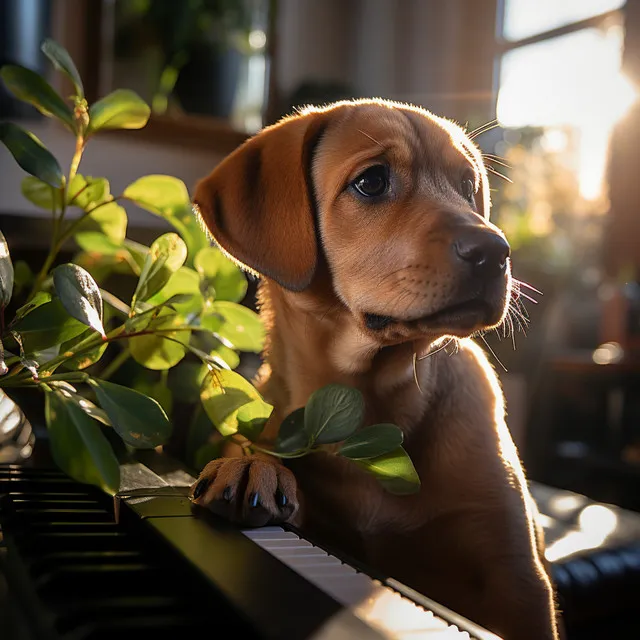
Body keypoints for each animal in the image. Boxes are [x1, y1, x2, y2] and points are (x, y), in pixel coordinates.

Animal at [191, 100, 560, 640]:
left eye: (467, 186)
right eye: (371, 181)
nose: (496, 252)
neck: (366, 403)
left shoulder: (519, 580)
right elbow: (252, 452)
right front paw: (252, 466)